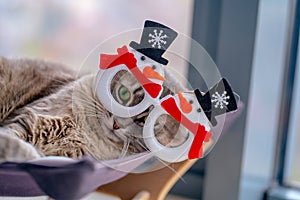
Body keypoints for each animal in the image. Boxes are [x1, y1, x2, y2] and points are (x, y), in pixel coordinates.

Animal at [0, 56, 188, 162]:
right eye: (124, 94)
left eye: (146, 121)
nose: (117, 124)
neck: (84, 131)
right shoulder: (28, 119)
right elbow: (14, 141)